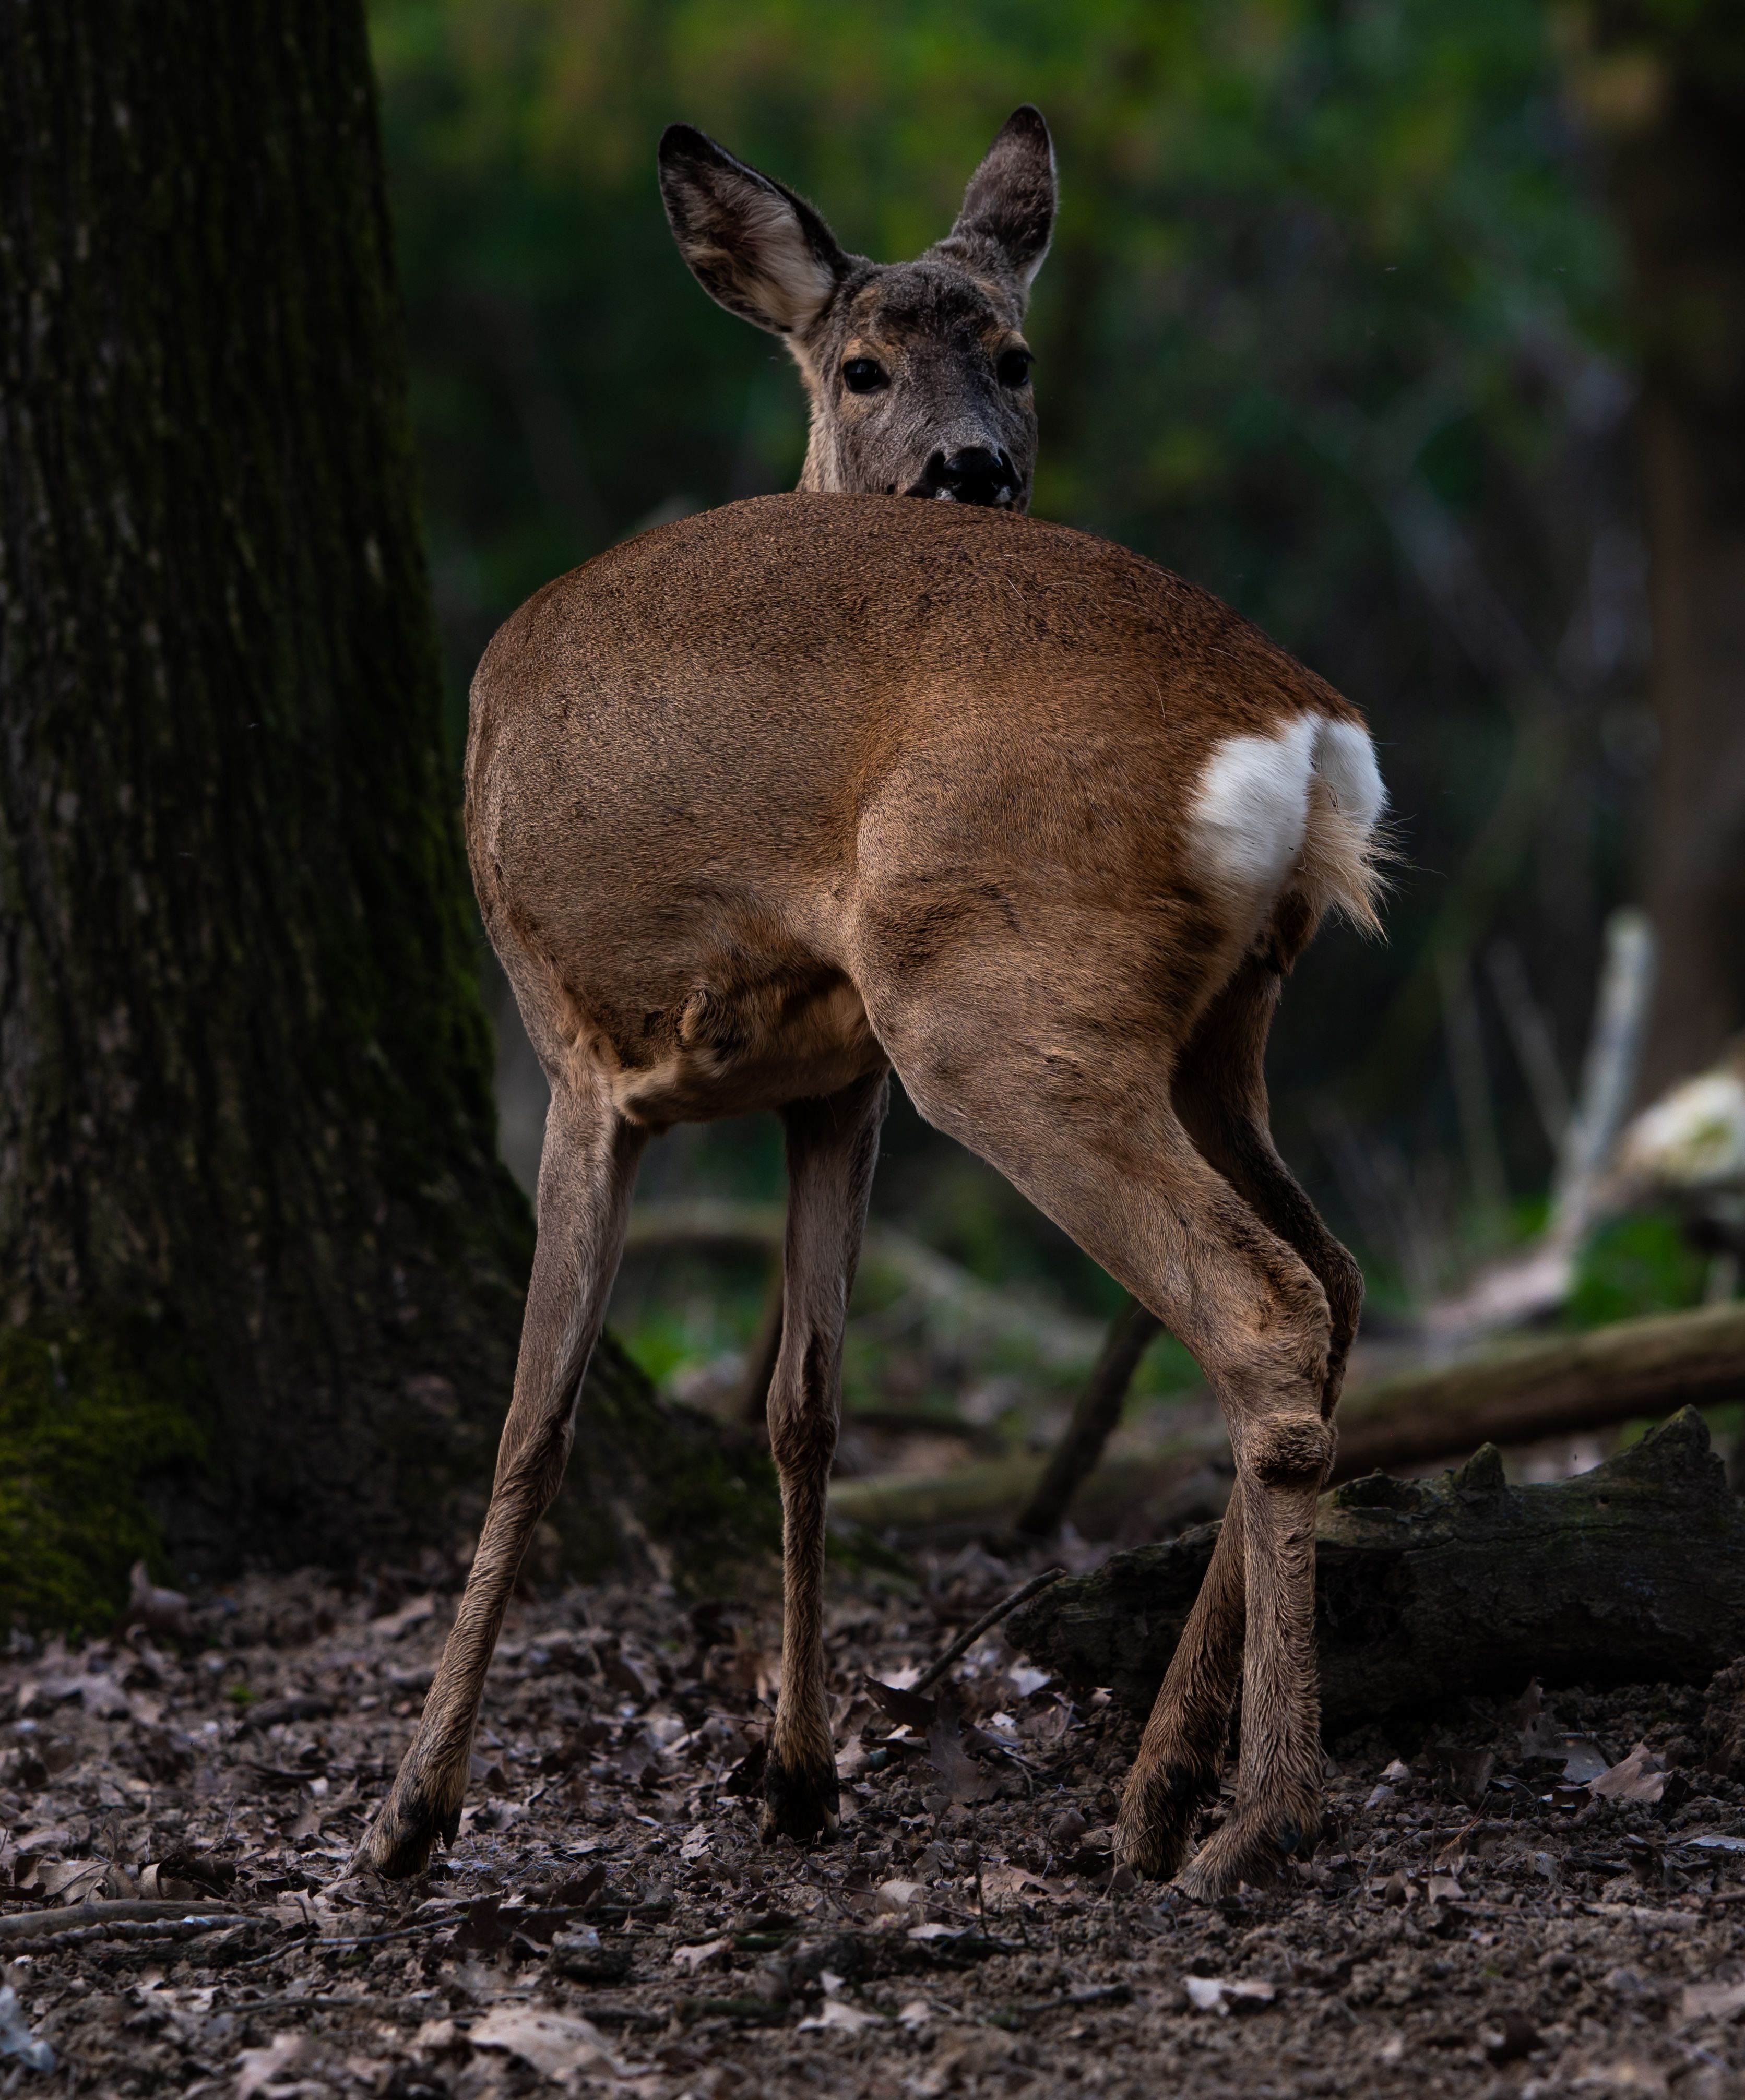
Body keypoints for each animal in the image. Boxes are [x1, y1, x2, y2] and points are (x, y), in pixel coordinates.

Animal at [358, 490, 1387, 1896]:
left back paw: (1262, 1815)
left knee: (1262, 1300)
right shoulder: (835, 1089)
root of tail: (1310, 736)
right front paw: (798, 1777)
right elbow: (804, 1408)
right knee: (1331, 1278)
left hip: (995, 1006)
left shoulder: (583, 1063)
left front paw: (414, 1806)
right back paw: (1160, 1791)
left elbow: (532, 1425)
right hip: (1217, 1031)